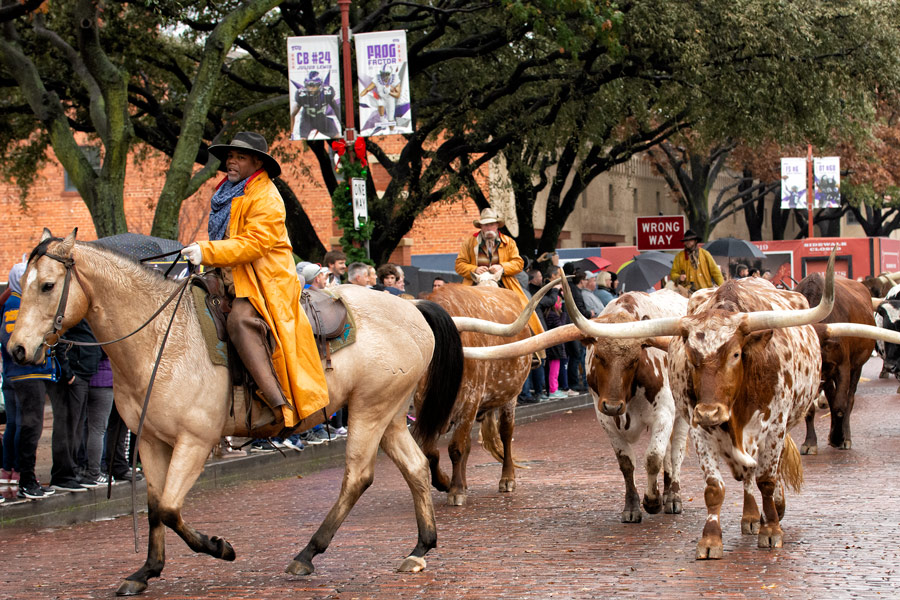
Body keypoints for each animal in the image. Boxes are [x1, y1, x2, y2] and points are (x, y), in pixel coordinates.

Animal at [8, 231, 464, 596]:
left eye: (47, 285)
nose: (17, 349)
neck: (159, 340)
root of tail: (412, 307)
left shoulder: (194, 442)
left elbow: (170, 508)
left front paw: (218, 547)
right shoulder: (151, 442)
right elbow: (156, 508)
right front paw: (146, 571)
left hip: (371, 410)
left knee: (359, 476)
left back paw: (308, 553)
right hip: (386, 413)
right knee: (415, 467)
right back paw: (420, 547)